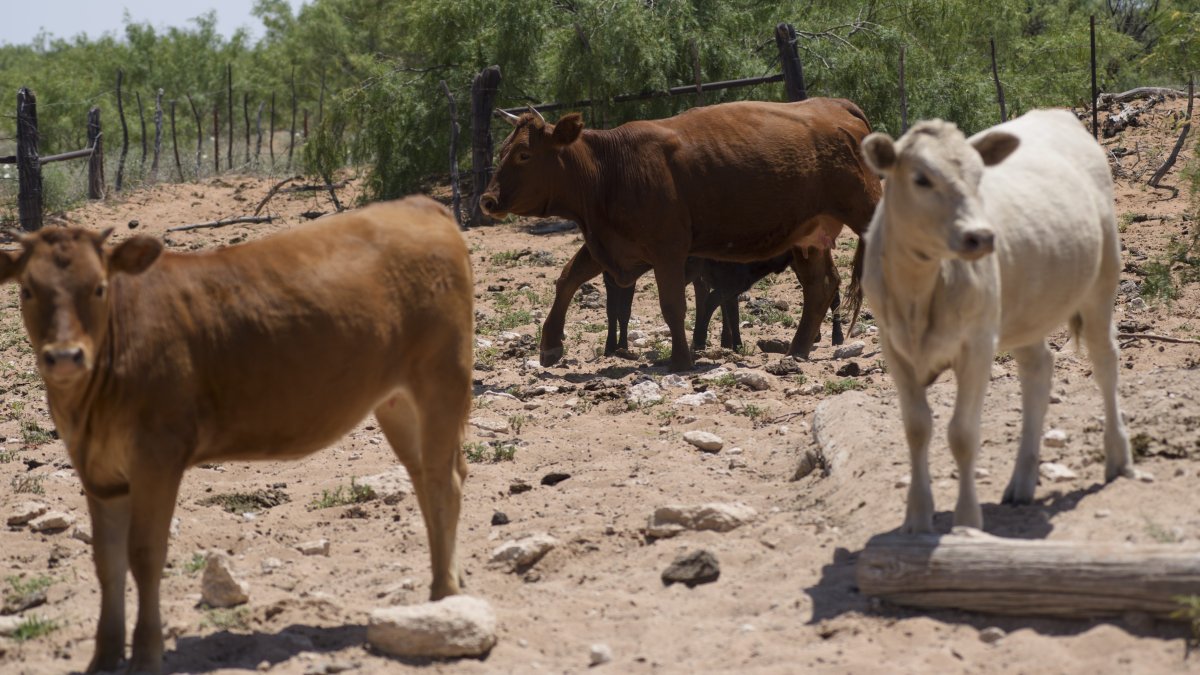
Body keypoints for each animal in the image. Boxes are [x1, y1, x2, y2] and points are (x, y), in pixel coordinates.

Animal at [0, 196, 474, 673]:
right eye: (27, 290)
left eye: (98, 287)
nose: (65, 356)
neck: (89, 406)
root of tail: (420, 205)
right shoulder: (97, 471)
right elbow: (106, 562)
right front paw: (103, 657)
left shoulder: (157, 457)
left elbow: (145, 555)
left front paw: (147, 654)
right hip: (396, 401)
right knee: (425, 478)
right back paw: (442, 584)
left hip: (443, 376)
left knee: (444, 481)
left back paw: (445, 595)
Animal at [479, 98, 881, 371]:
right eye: (502, 152)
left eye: (525, 154)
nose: (487, 200)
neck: (610, 168)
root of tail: (833, 105)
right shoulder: (609, 244)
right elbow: (567, 279)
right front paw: (550, 344)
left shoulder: (668, 251)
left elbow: (673, 305)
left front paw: (680, 359)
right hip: (808, 237)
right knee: (821, 286)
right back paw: (797, 349)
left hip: (866, 211)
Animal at [858, 110, 1134, 534]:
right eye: (921, 178)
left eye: (978, 175)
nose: (982, 237)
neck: (918, 292)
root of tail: (1057, 113)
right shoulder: (894, 347)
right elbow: (917, 428)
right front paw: (917, 518)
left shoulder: (977, 343)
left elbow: (963, 434)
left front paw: (968, 521)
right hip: (1026, 308)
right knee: (1038, 370)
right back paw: (1022, 482)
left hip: (1101, 282)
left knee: (1105, 361)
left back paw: (1118, 455)